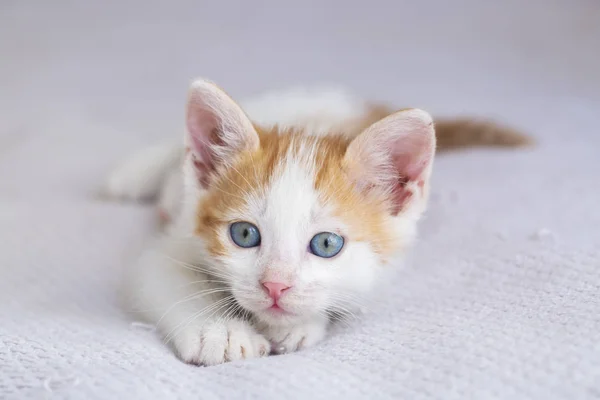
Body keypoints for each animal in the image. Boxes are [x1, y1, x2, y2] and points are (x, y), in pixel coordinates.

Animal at [104, 79, 528, 366]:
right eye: (244, 234)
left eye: (326, 244)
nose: (275, 285)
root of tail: (359, 108)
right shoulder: (170, 246)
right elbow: (168, 277)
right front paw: (220, 332)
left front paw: (297, 325)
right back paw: (134, 174)